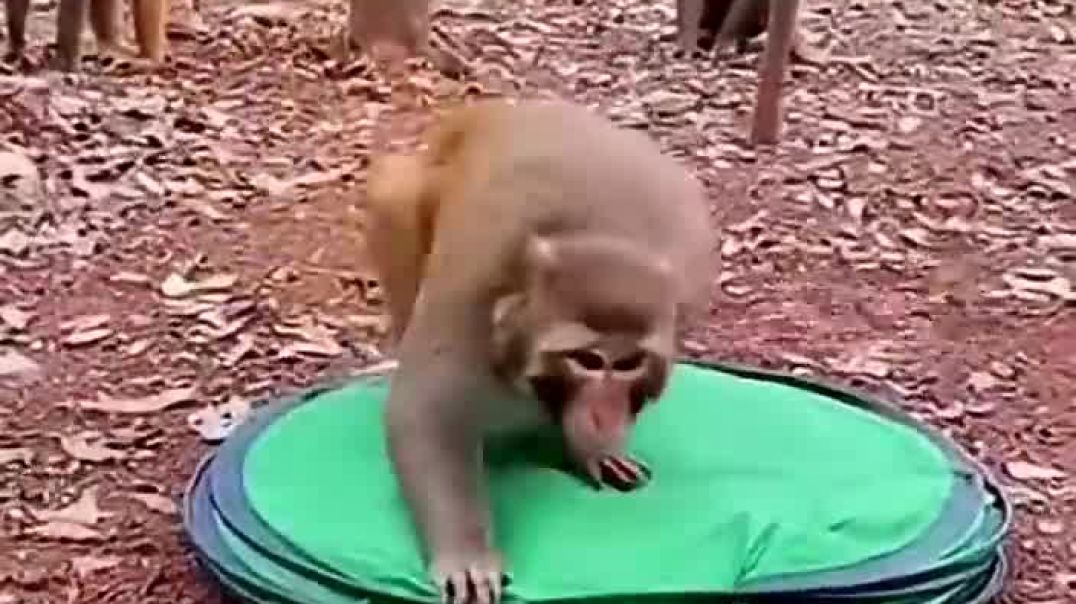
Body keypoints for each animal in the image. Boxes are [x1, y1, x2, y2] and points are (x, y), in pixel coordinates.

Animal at [363, 99, 713, 604]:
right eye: (589, 361)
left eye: (628, 364)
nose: (604, 415)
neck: (600, 231)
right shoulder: (472, 281)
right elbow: (426, 412)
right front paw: (467, 554)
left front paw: (592, 449)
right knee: (395, 198)